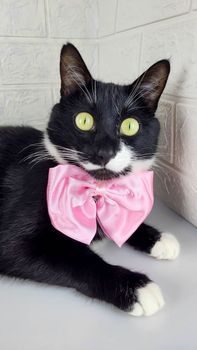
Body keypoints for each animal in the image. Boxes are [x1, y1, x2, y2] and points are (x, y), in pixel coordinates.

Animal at [0, 42, 179, 316]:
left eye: (130, 125)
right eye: (84, 120)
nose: (104, 152)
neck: (96, 192)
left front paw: (159, 238)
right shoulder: (14, 241)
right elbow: (75, 260)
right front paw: (136, 287)